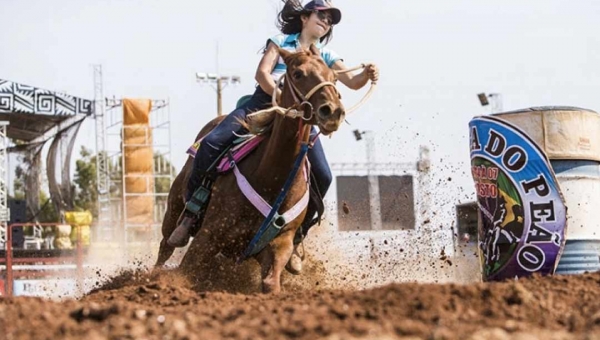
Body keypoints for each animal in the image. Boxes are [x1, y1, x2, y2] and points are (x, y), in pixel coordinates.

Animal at [155, 45, 344, 294]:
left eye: (334, 77)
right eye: (297, 74)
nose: (332, 111)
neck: (272, 178)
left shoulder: (280, 244)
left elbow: (271, 282)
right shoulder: (208, 236)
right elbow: (185, 272)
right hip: (174, 208)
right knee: (165, 246)